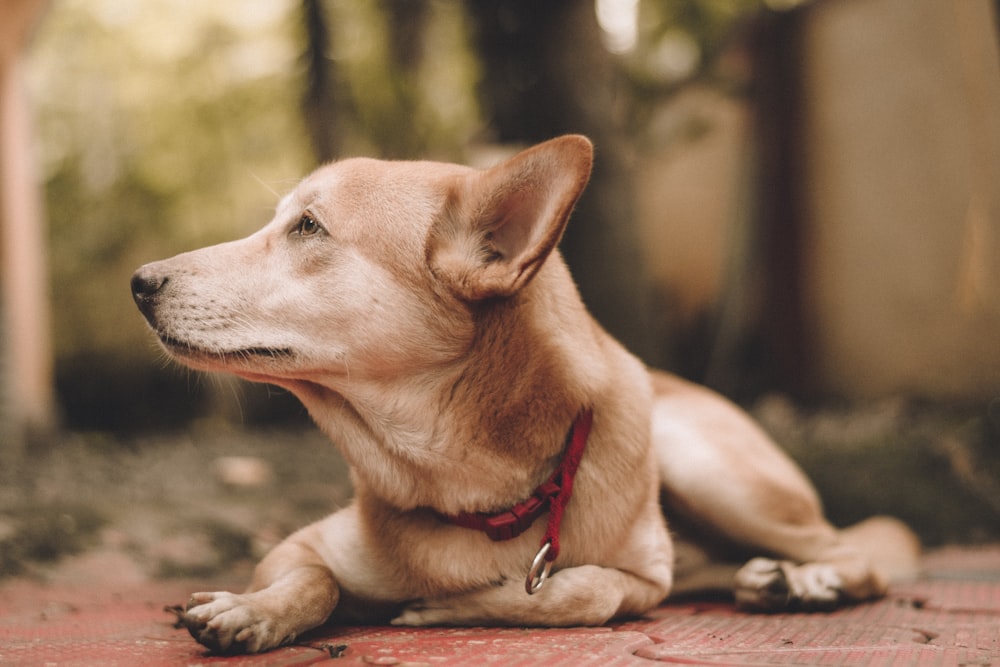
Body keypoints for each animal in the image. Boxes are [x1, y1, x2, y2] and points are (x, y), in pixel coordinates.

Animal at [133, 134, 920, 652]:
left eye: (308, 227)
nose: (139, 282)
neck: (476, 495)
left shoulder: (645, 581)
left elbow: (587, 590)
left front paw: (451, 606)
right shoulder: (298, 545)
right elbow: (312, 580)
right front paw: (252, 611)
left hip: (708, 466)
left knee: (858, 553)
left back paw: (809, 580)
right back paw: (772, 578)